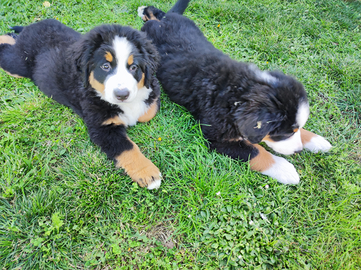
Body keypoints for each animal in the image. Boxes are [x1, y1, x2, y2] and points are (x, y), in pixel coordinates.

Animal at [0, 19, 161, 190]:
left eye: (134, 67)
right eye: (105, 66)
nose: (122, 95)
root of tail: (33, 25)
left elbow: (148, 111)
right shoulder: (102, 128)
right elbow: (128, 148)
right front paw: (148, 174)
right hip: (17, 65)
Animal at [138, 0, 332, 185]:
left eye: (293, 131)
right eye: (284, 134)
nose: (298, 150)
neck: (237, 93)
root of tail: (165, 21)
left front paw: (316, 140)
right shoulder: (217, 137)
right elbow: (255, 151)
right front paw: (285, 169)